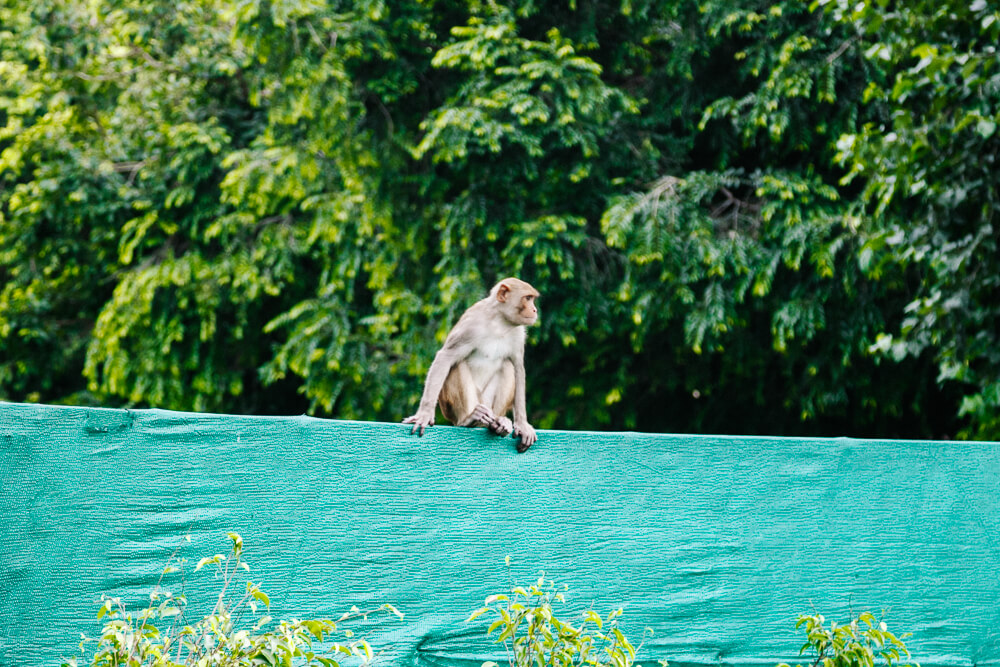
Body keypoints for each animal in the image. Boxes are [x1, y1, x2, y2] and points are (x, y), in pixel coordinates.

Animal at [402, 276, 540, 454]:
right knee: (458, 365)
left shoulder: (518, 334)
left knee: (507, 366)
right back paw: (469, 420)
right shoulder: (471, 325)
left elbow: (517, 368)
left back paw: (498, 423)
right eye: (528, 298)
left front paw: (522, 424)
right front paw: (425, 413)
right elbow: (445, 357)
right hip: (453, 407)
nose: (534, 310)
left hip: (488, 404)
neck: (500, 322)